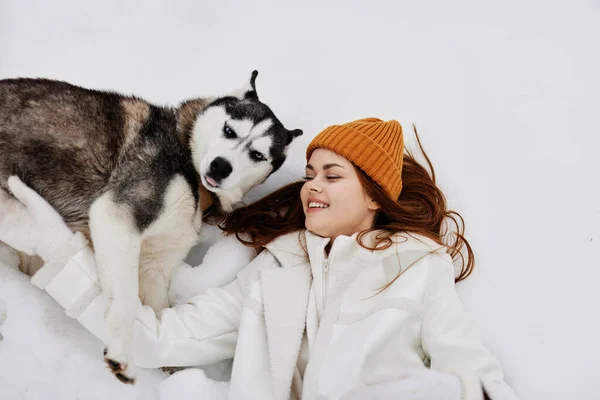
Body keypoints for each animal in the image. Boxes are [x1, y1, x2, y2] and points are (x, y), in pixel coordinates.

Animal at [0, 71, 300, 382]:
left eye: (258, 155)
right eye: (229, 130)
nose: (220, 166)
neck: (189, 164)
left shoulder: (156, 261)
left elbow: (158, 314)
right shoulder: (117, 215)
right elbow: (125, 301)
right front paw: (120, 349)